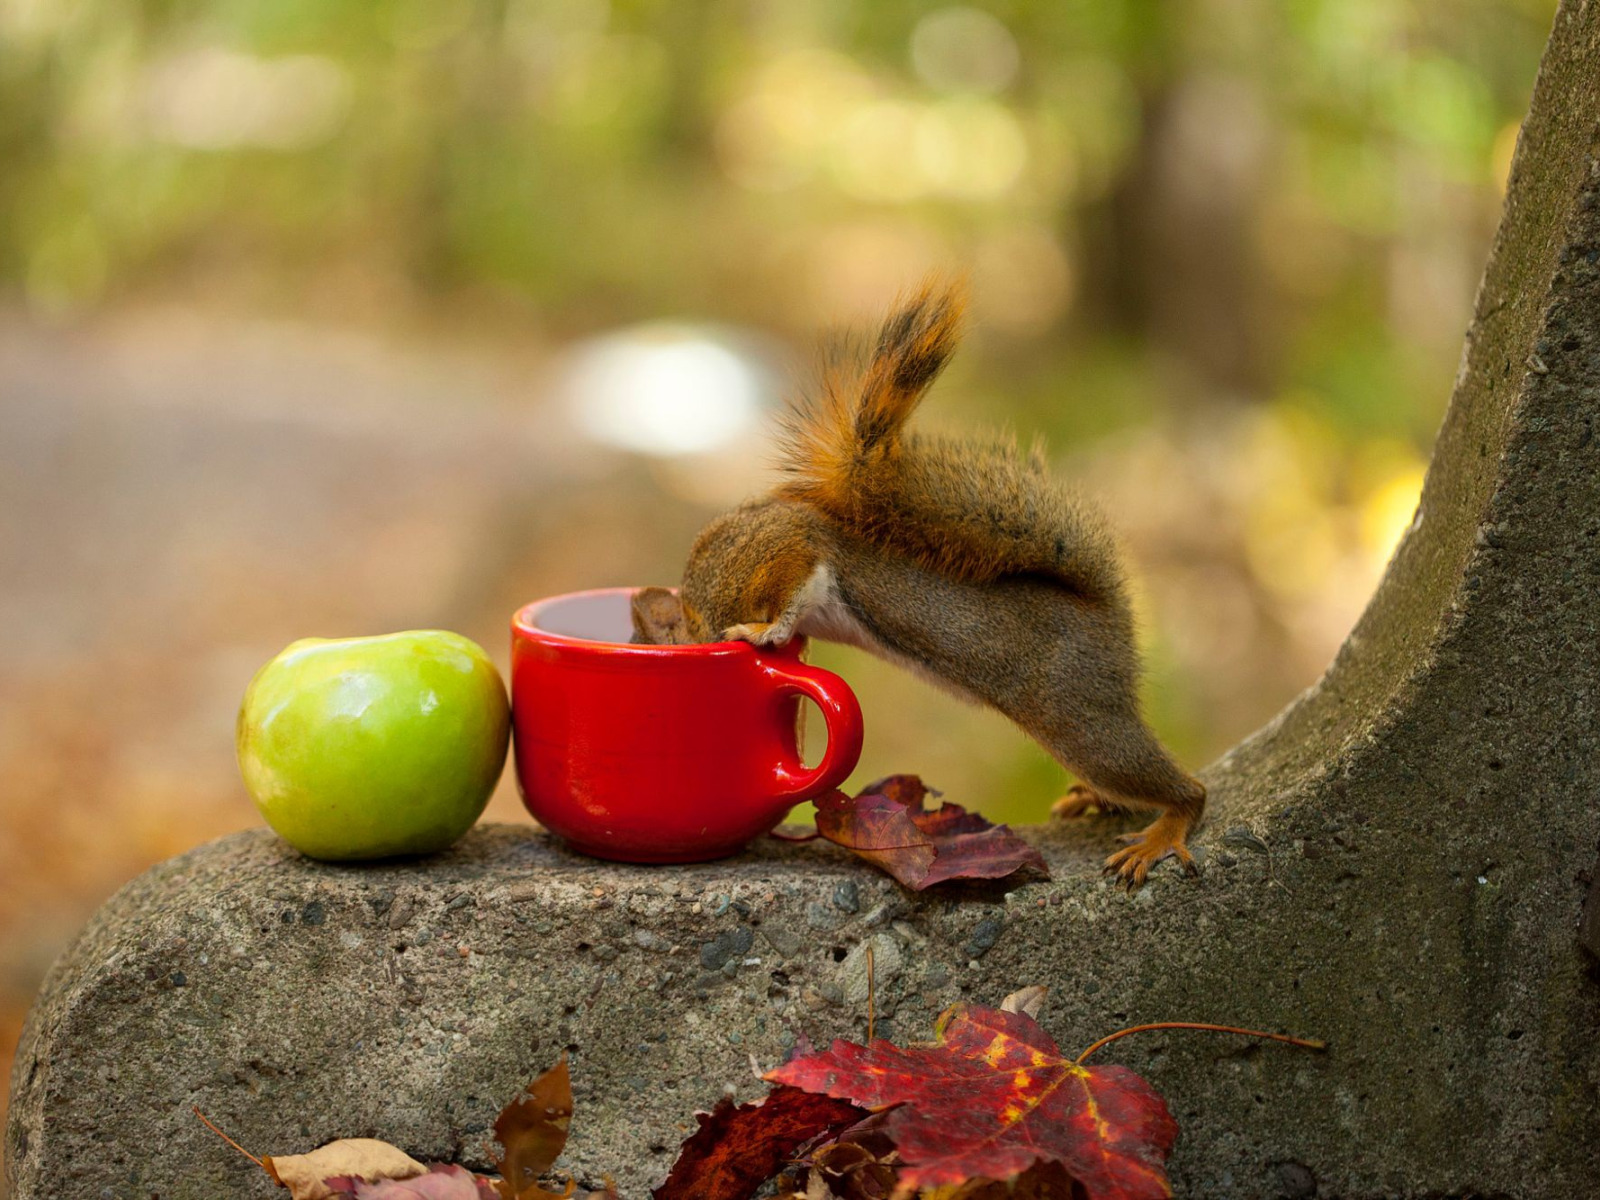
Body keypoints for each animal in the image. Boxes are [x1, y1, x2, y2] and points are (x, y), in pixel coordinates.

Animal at [630, 280, 1203, 883]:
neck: (699, 602)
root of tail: (1109, 615)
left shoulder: (778, 549)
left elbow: (794, 579)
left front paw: (762, 634)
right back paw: (1096, 800)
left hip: (1078, 713)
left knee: (1180, 787)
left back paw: (1163, 830)